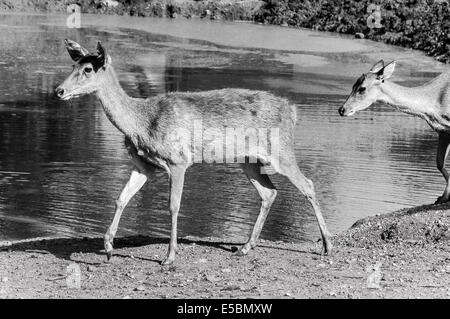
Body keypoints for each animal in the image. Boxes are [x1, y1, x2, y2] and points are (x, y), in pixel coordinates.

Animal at [54, 38, 332, 266]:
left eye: (88, 69)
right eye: (73, 66)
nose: (59, 90)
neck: (142, 122)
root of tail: (293, 111)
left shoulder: (178, 160)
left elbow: (173, 205)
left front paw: (169, 257)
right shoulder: (144, 165)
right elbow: (121, 198)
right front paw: (109, 247)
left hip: (281, 150)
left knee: (308, 184)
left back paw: (327, 245)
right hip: (248, 160)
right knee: (269, 192)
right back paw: (245, 247)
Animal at [340, 60, 450, 205]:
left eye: (362, 88)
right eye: (353, 85)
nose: (342, 110)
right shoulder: (442, 132)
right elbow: (439, 164)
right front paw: (442, 198)